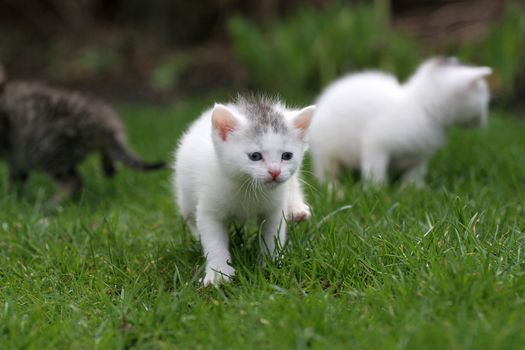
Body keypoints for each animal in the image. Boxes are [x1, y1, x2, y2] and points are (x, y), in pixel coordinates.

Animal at [0, 68, 165, 201]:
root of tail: (104, 123)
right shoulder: (18, 159)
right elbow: (16, 178)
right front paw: (12, 197)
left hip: (46, 149)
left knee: (73, 182)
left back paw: (52, 204)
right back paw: (108, 165)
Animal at [172, 95, 314, 284]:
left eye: (287, 156)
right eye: (255, 156)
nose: (275, 172)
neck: (248, 188)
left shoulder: (274, 209)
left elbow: (272, 235)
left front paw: (272, 263)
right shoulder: (209, 208)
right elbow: (213, 241)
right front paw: (218, 274)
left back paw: (296, 209)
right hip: (186, 196)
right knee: (190, 216)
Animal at [308, 56, 492, 189]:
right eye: (484, 102)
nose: (484, 121)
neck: (422, 107)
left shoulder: (419, 157)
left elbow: (414, 176)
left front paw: (413, 190)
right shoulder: (376, 144)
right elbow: (375, 170)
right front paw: (376, 190)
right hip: (327, 150)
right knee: (325, 170)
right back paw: (333, 187)